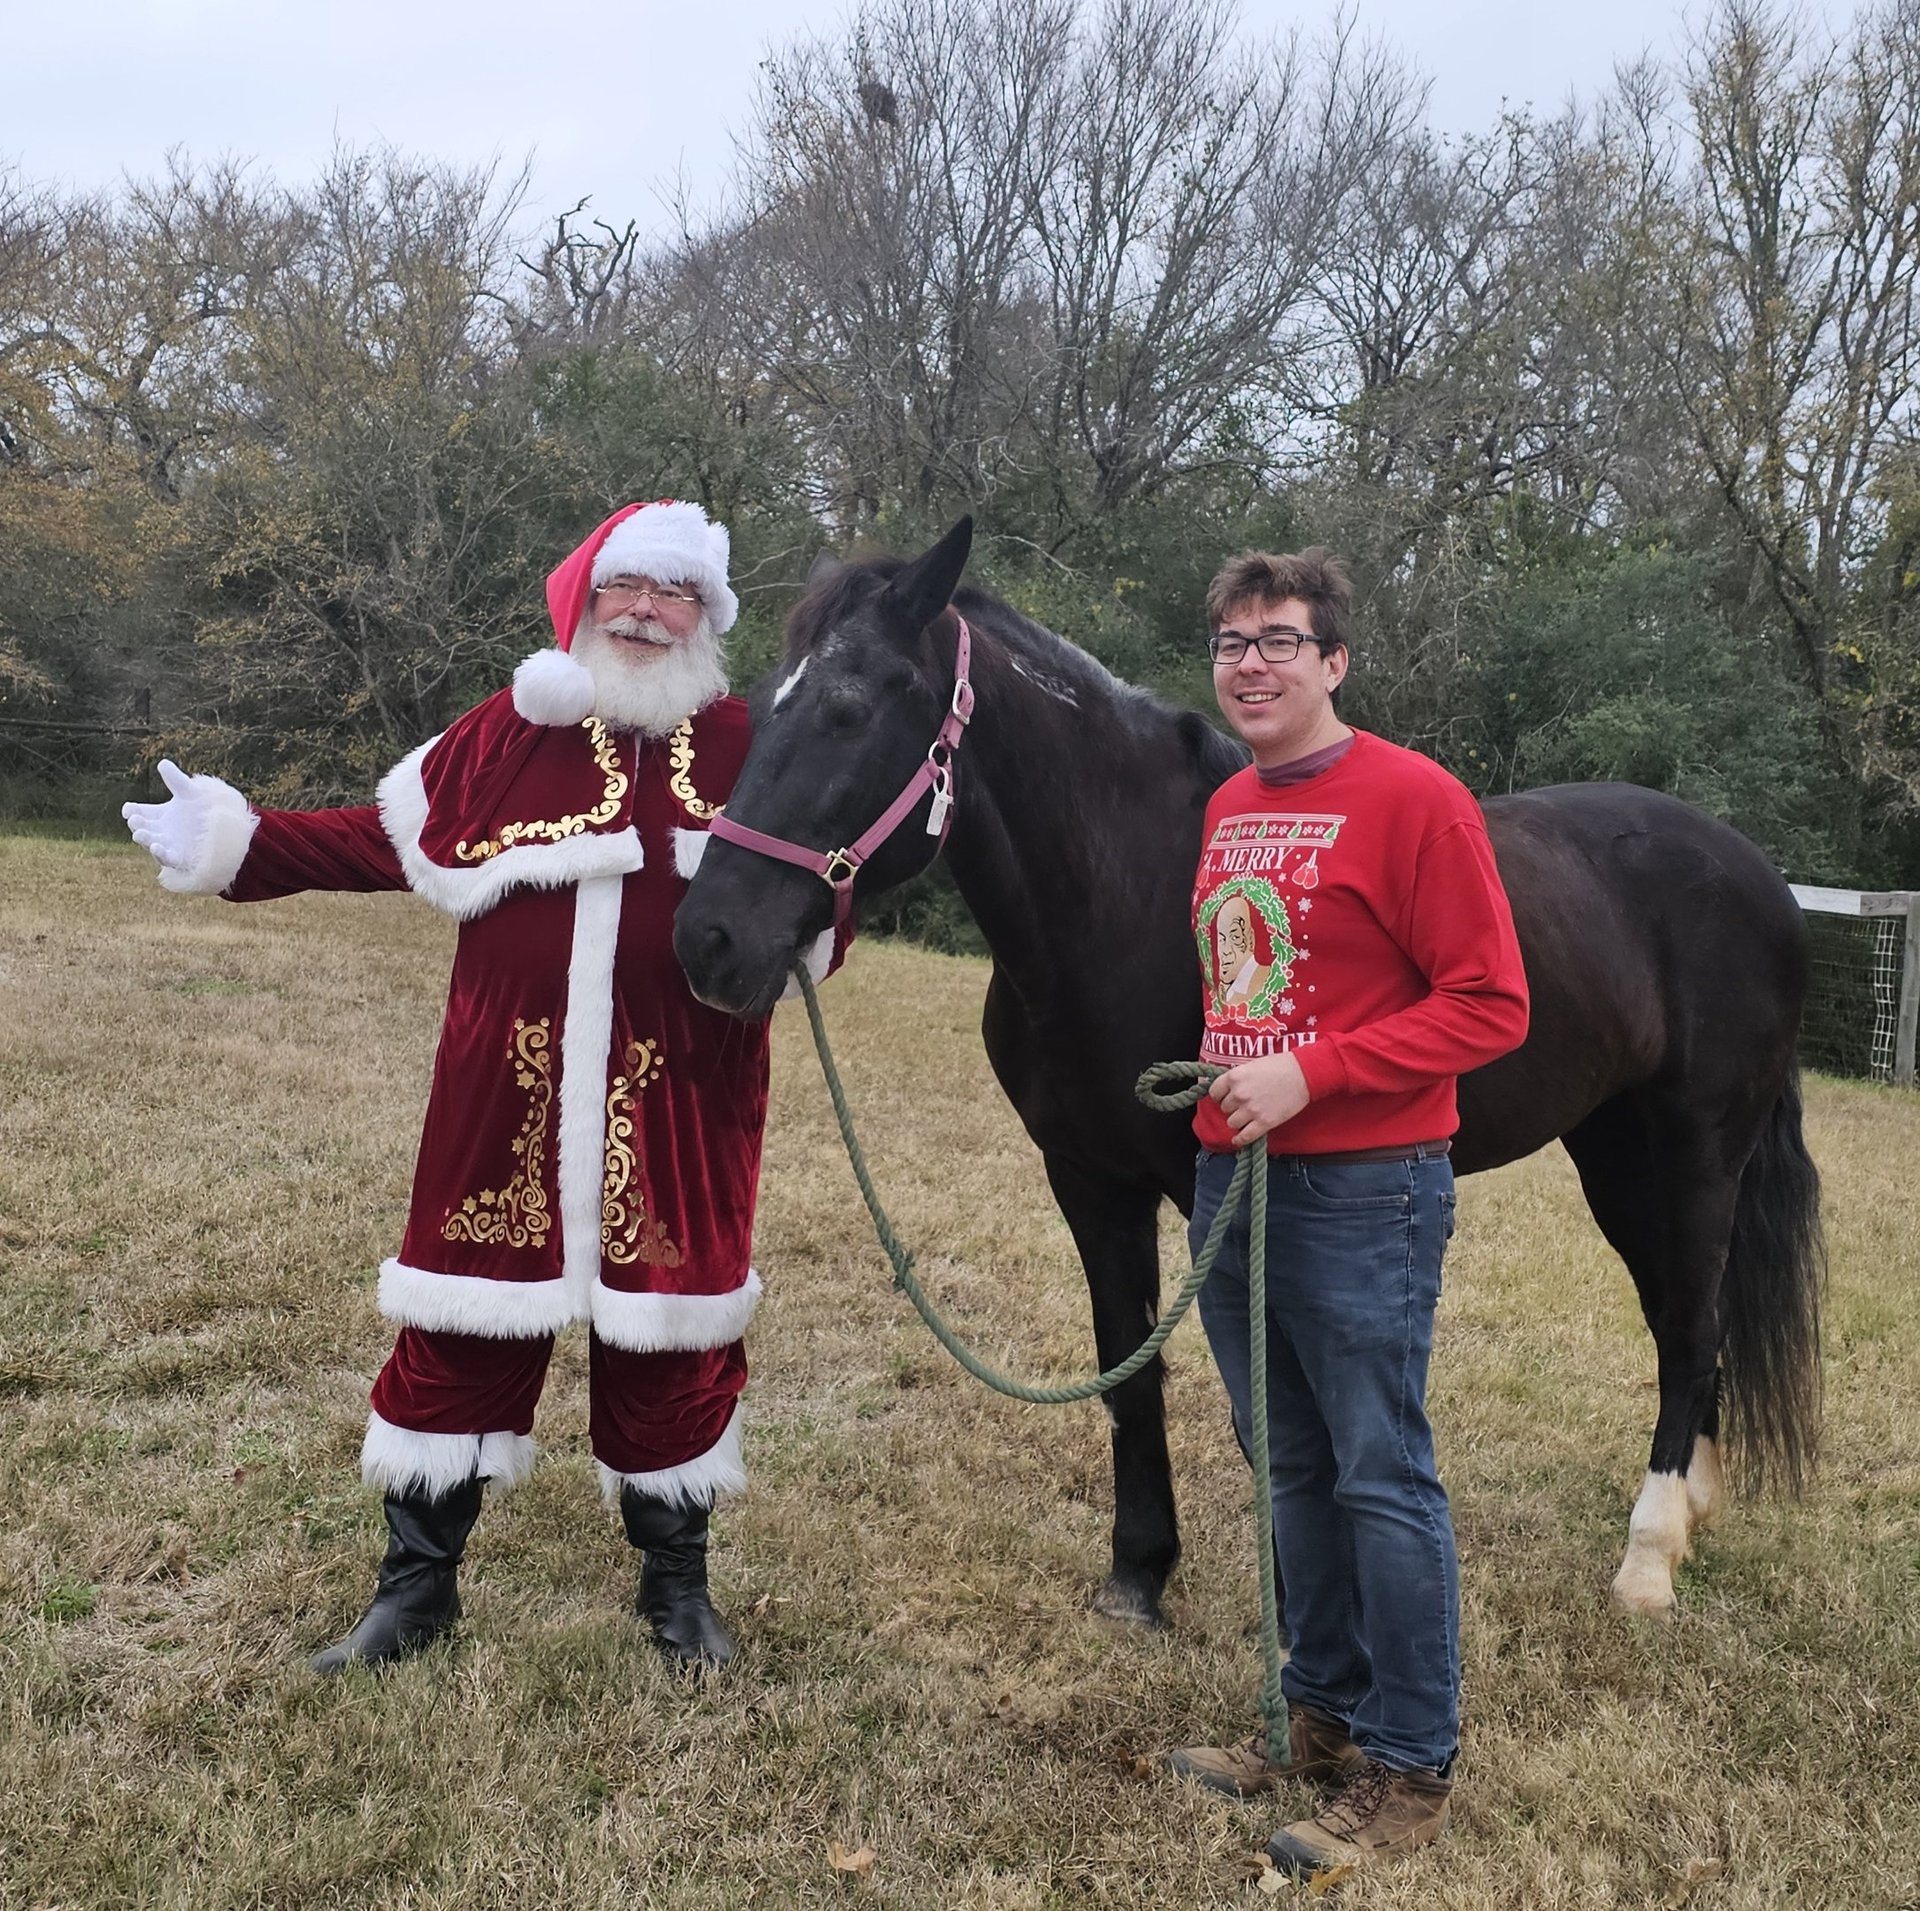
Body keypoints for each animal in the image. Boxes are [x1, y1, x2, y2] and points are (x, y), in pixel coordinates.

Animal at [674, 518, 1823, 1627]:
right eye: (763, 707)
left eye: (850, 708)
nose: (709, 941)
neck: (1122, 902)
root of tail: (1760, 875)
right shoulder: (1089, 1182)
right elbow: (1131, 1375)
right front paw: (1140, 1575)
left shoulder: (1220, 1192)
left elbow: (1256, 1408)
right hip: (1617, 1154)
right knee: (1685, 1325)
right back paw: (1689, 1517)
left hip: (1697, 1153)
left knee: (1693, 1326)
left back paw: (1647, 1564)